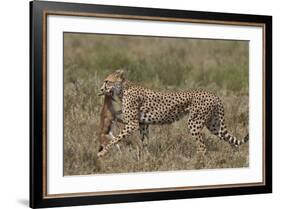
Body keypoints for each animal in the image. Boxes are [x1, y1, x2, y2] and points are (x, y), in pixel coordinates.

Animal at [97, 70, 247, 160]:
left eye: (107, 81)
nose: (101, 89)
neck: (124, 89)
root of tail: (213, 94)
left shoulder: (132, 123)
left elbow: (114, 139)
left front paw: (102, 153)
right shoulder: (143, 123)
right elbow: (144, 142)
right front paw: (145, 157)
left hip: (194, 123)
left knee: (203, 147)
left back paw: (197, 162)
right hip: (214, 124)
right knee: (230, 141)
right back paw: (235, 158)